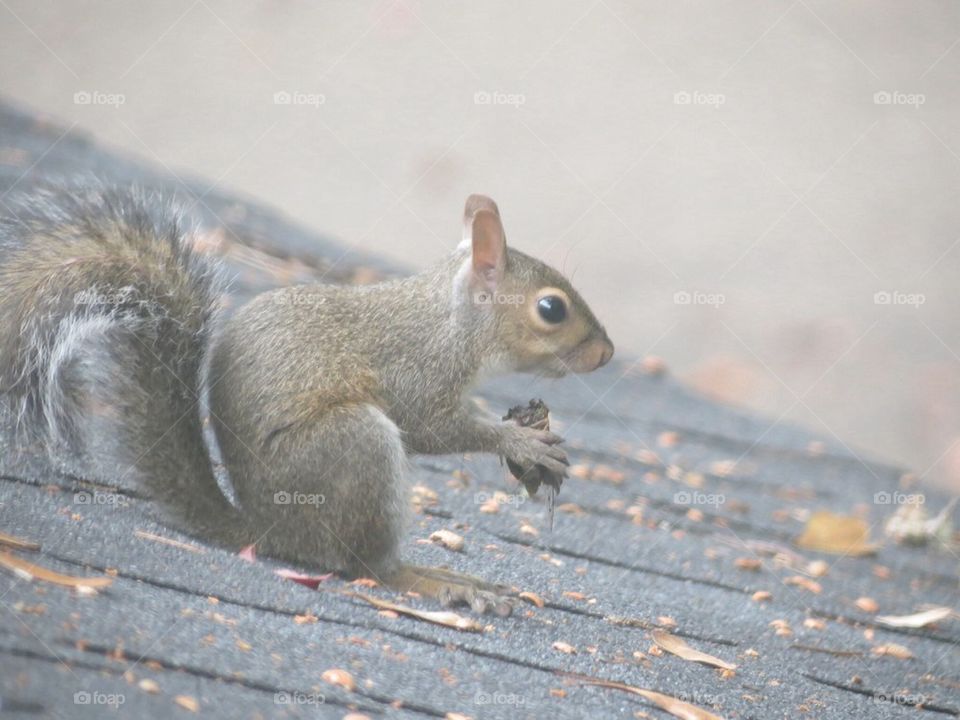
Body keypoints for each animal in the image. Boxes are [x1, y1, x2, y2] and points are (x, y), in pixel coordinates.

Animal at [0, 182, 613, 614]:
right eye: (551, 308)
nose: (606, 354)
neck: (452, 321)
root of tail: (270, 531)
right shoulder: (415, 369)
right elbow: (429, 425)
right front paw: (519, 441)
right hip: (353, 447)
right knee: (369, 565)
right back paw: (439, 581)